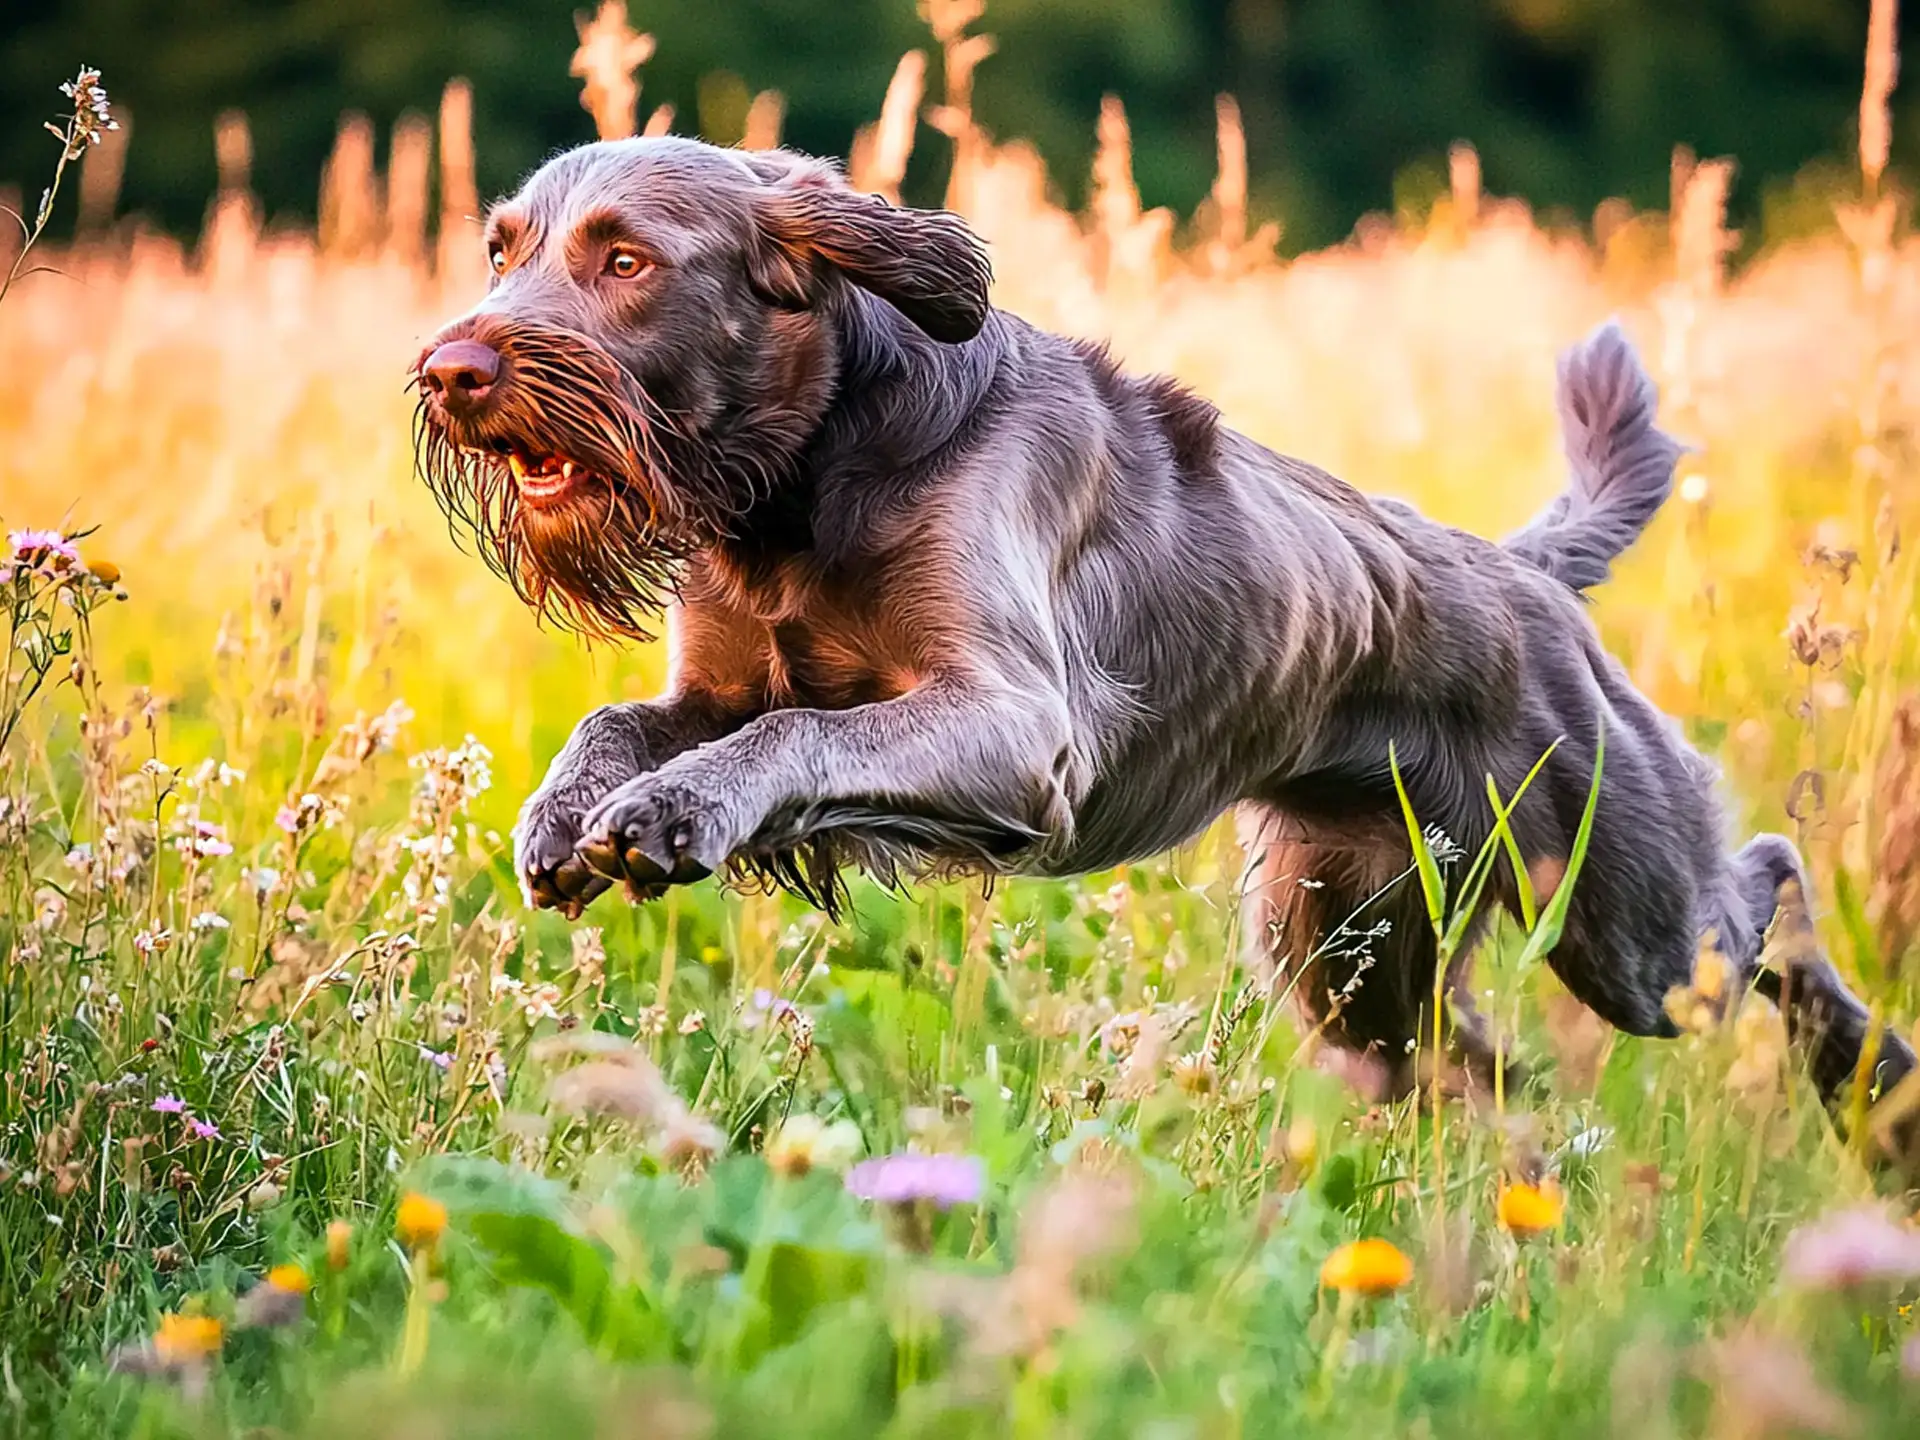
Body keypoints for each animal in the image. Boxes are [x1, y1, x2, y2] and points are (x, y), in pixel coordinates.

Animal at [412, 138, 1912, 1136]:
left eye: (625, 258)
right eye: (501, 247)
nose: (449, 371)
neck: (803, 482)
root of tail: (1527, 574)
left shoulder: (1018, 728)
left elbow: (792, 736)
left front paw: (674, 817)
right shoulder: (715, 684)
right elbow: (627, 721)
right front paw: (566, 818)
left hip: (1626, 922)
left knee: (1771, 887)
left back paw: (1870, 1091)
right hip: (1351, 954)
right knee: (1479, 1072)